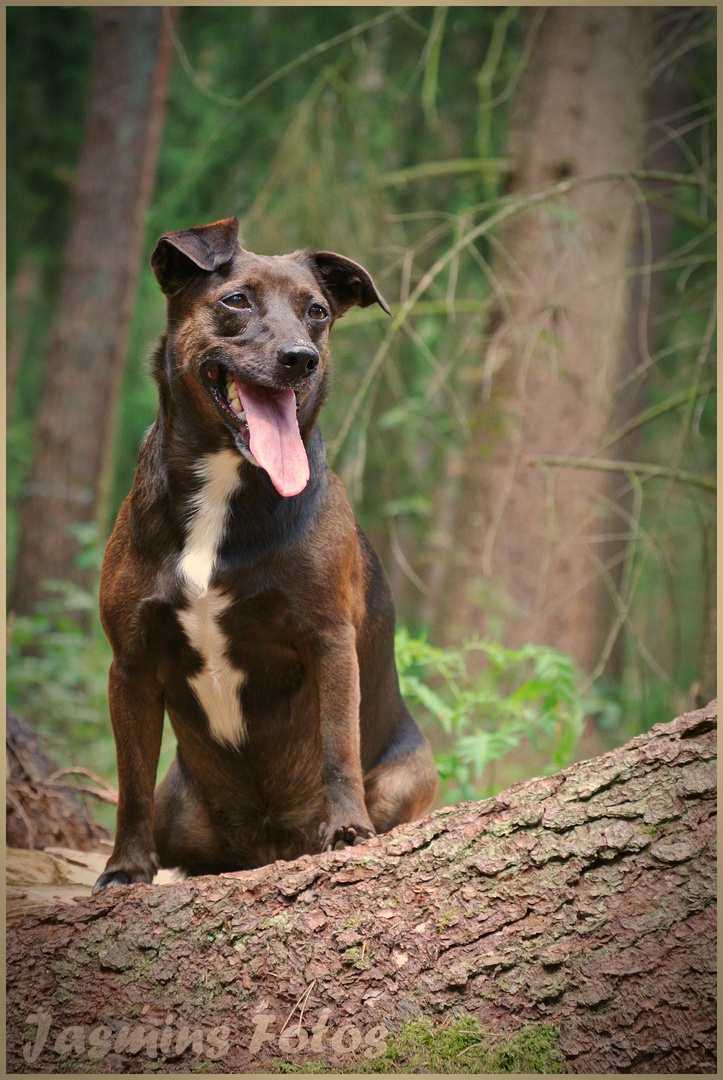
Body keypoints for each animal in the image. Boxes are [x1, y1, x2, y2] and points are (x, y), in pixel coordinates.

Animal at [92, 214, 436, 889]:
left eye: (318, 311)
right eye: (236, 301)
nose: (300, 358)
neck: (225, 491)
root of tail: (263, 847)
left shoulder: (328, 639)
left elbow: (338, 746)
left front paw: (347, 830)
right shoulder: (131, 663)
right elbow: (130, 781)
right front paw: (125, 868)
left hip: (414, 773)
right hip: (180, 805)